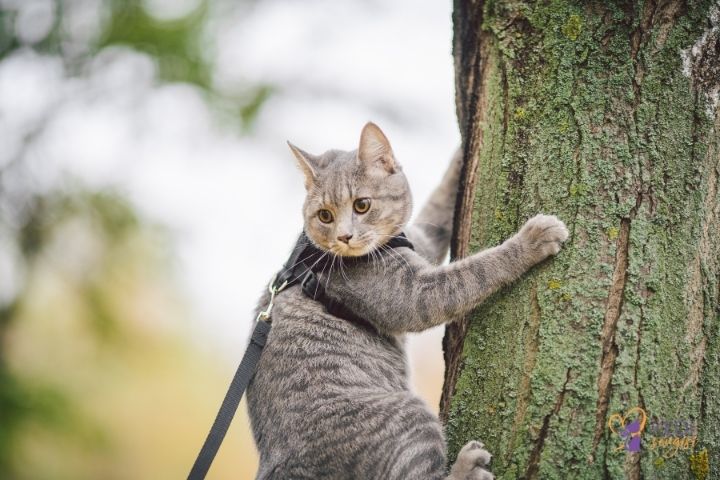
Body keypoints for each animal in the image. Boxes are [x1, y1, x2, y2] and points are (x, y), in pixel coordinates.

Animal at [246, 122, 568, 478]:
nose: (344, 236)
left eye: (362, 205)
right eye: (325, 215)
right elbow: (477, 270)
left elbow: (440, 205)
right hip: (408, 414)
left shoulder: (422, 238)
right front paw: (532, 240)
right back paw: (467, 466)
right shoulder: (417, 295)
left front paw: (460, 150)